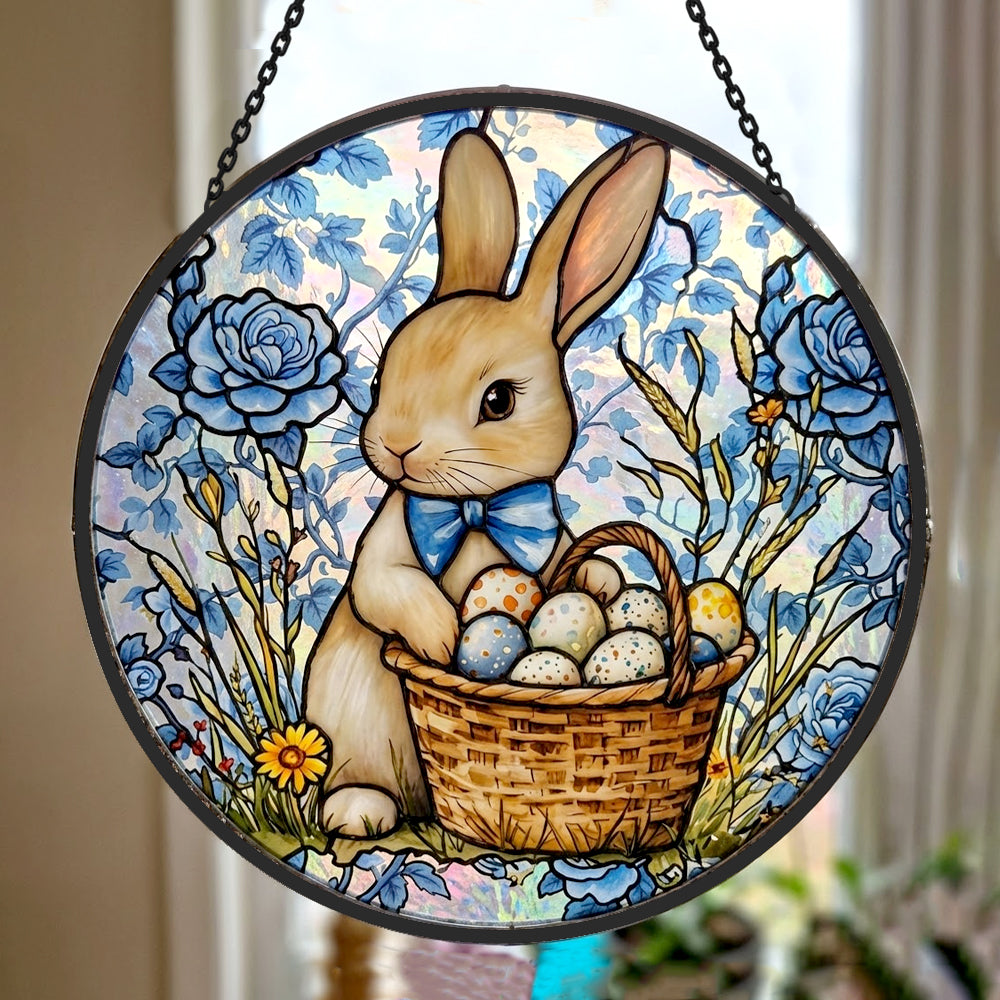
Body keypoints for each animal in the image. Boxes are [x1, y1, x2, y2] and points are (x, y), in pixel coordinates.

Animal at [303, 124, 670, 837]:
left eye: (498, 401)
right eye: (384, 373)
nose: (397, 445)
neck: (472, 507)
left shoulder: (546, 544)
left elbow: (578, 567)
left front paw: (599, 580)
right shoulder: (383, 550)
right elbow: (385, 589)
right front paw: (446, 636)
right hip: (356, 733)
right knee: (356, 778)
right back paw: (358, 811)